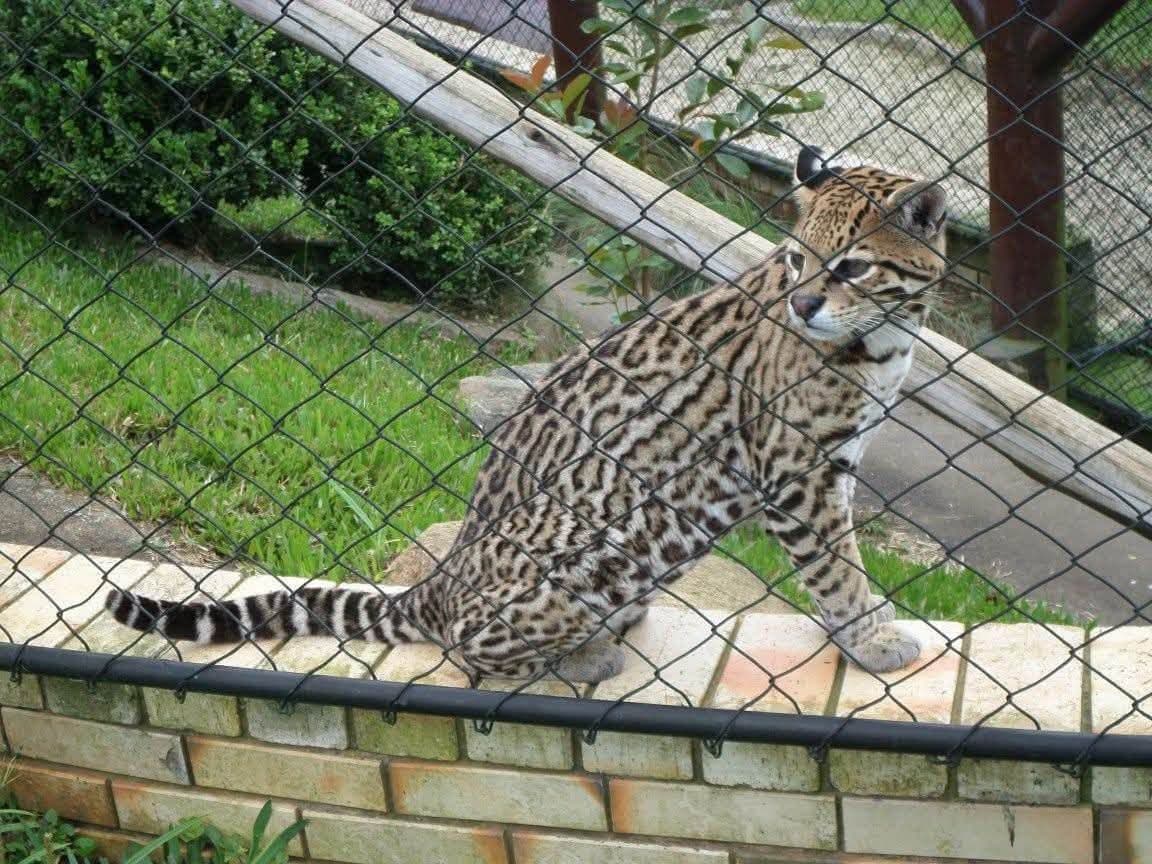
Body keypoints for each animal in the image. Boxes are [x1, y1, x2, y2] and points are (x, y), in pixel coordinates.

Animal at [106, 145, 948, 684]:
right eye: (799, 260)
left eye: (852, 267)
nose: (803, 305)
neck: (886, 342)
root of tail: (439, 584)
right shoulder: (796, 470)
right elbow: (835, 567)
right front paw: (871, 641)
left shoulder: (835, 465)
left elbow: (844, 559)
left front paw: (862, 631)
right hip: (592, 543)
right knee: (472, 647)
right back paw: (583, 655)